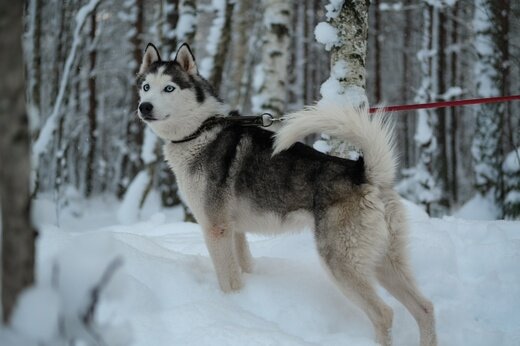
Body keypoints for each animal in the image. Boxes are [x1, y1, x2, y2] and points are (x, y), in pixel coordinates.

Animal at [136, 43, 436, 346]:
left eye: (169, 88)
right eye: (146, 86)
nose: (144, 106)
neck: (200, 130)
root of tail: (364, 173)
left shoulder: (216, 229)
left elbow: (228, 279)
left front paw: (231, 305)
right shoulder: (235, 231)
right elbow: (244, 266)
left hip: (340, 262)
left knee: (384, 314)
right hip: (385, 261)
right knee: (425, 307)